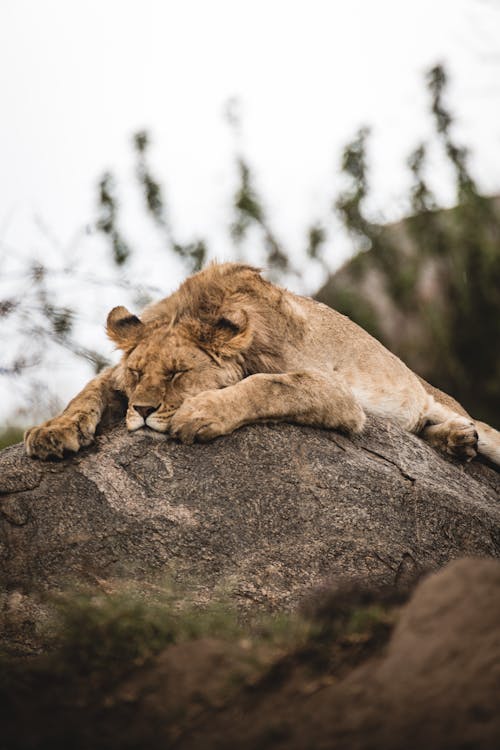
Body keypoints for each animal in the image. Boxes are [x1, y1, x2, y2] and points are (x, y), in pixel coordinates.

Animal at [24, 262, 500, 468]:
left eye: (179, 374)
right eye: (138, 374)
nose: (141, 411)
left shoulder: (338, 394)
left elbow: (269, 384)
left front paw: (200, 413)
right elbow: (88, 390)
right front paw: (52, 432)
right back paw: (456, 442)